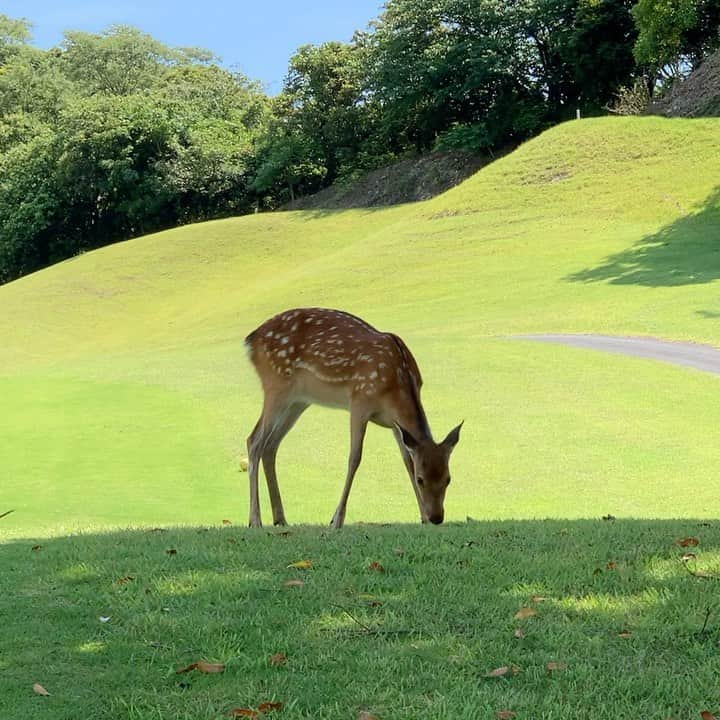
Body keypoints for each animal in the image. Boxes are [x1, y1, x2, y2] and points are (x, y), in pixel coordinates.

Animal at [245, 308, 464, 528]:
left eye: (448, 478)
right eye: (421, 480)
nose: (436, 517)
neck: (396, 385)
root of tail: (251, 341)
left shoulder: (395, 424)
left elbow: (407, 460)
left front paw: (422, 518)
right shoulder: (359, 401)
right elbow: (354, 458)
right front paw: (336, 520)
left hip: (298, 401)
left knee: (270, 445)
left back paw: (280, 518)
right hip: (276, 385)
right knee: (254, 441)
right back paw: (255, 519)